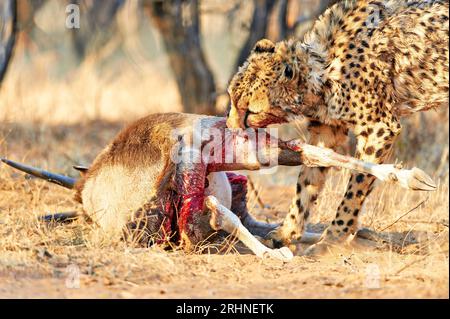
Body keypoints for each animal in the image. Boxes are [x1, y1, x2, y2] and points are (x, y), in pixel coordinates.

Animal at [227, 0, 448, 255]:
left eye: (250, 111)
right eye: (231, 98)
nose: (228, 127)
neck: (323, 67)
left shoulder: (379, 128)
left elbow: (355, 187)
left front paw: (332, 239)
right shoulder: (327, 131)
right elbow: (307, 180)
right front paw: (287, 232)